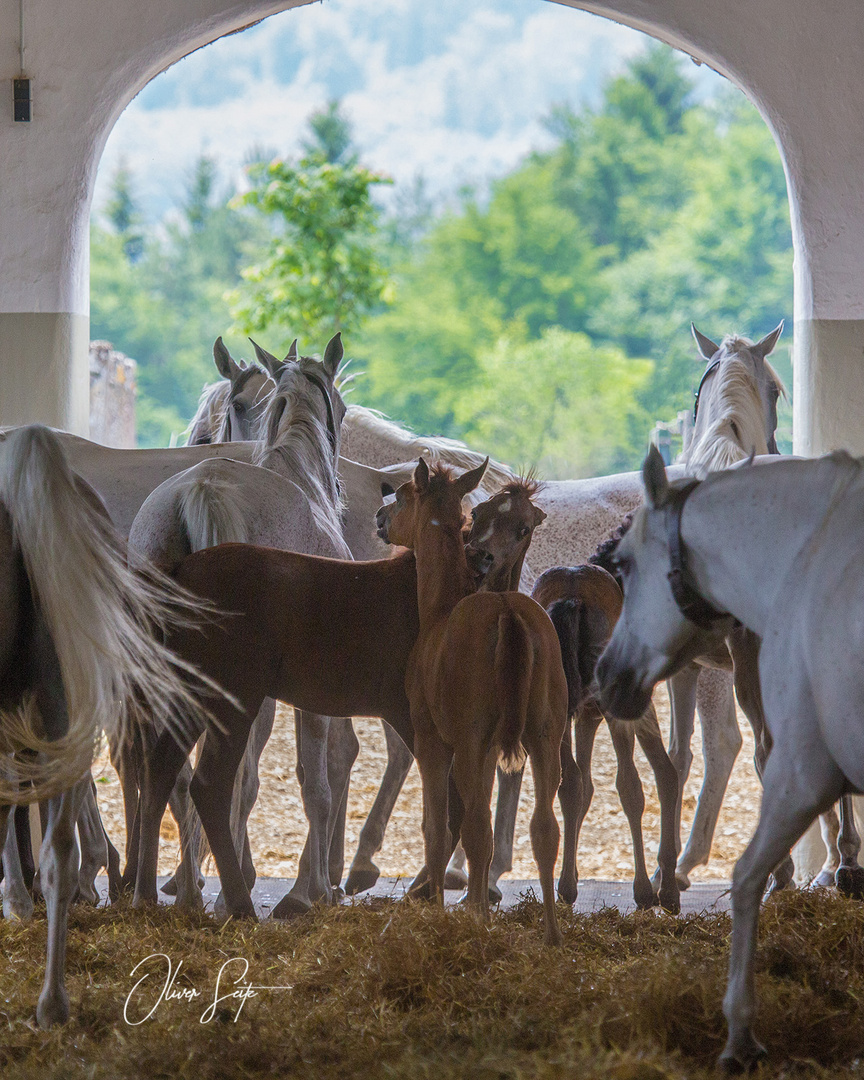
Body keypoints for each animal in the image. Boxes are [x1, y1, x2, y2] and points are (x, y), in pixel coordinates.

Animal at [378, 460, 565, 941]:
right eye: (477, 512)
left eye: (402, 496)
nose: (380, 518)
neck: (442, 608)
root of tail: (508, 612)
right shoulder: (487, 750)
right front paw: (476, 901)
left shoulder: (434, 741)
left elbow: (438, 828)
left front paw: (443, 908)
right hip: (544, 737)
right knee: (543, 828)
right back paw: (551, 933)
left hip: (468, 741)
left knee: (476, 825)